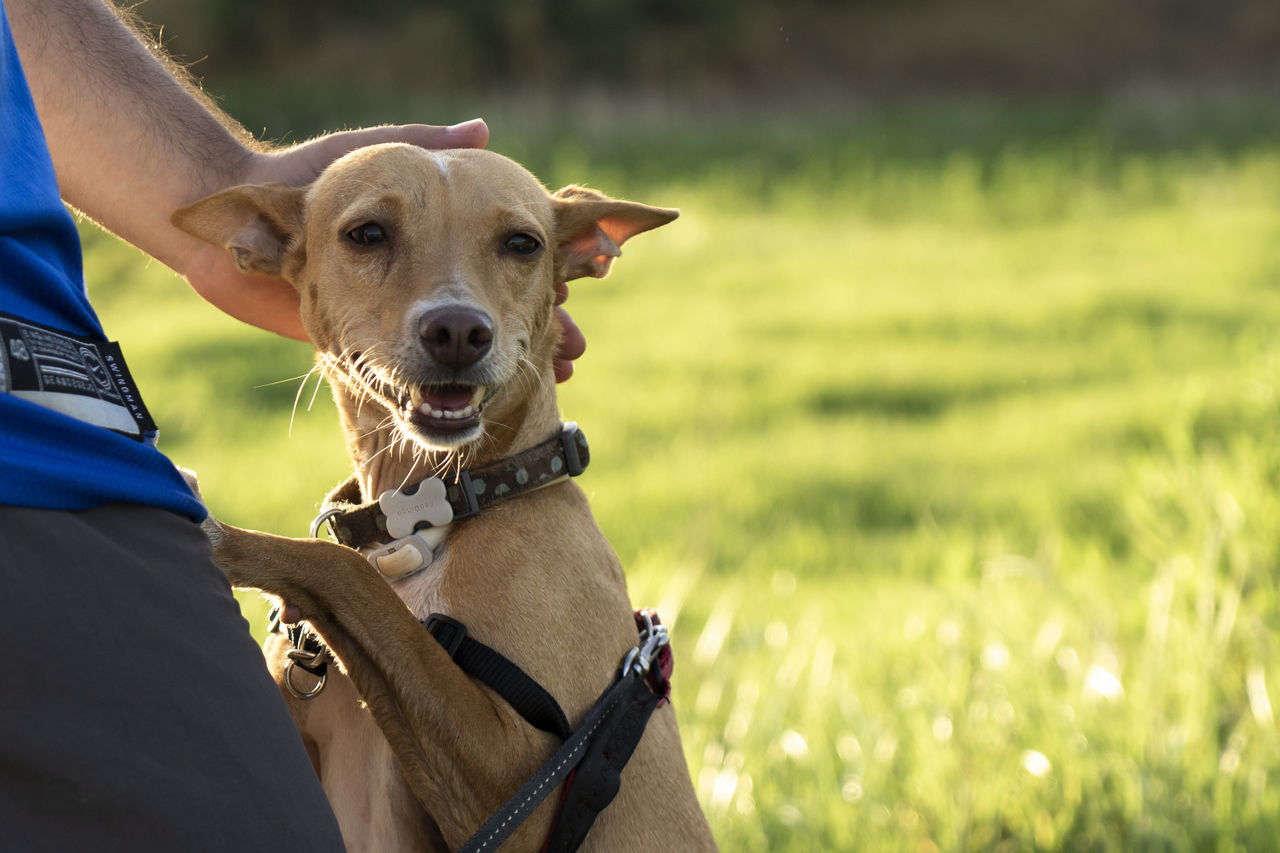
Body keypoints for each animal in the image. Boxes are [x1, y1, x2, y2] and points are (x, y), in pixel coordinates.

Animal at [174, 147, 721, 850]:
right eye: (368, 234)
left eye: (522, 243)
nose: (459, 330)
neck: (426, 516)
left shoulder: (526, 787)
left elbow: (347, 573)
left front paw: (227, 538)